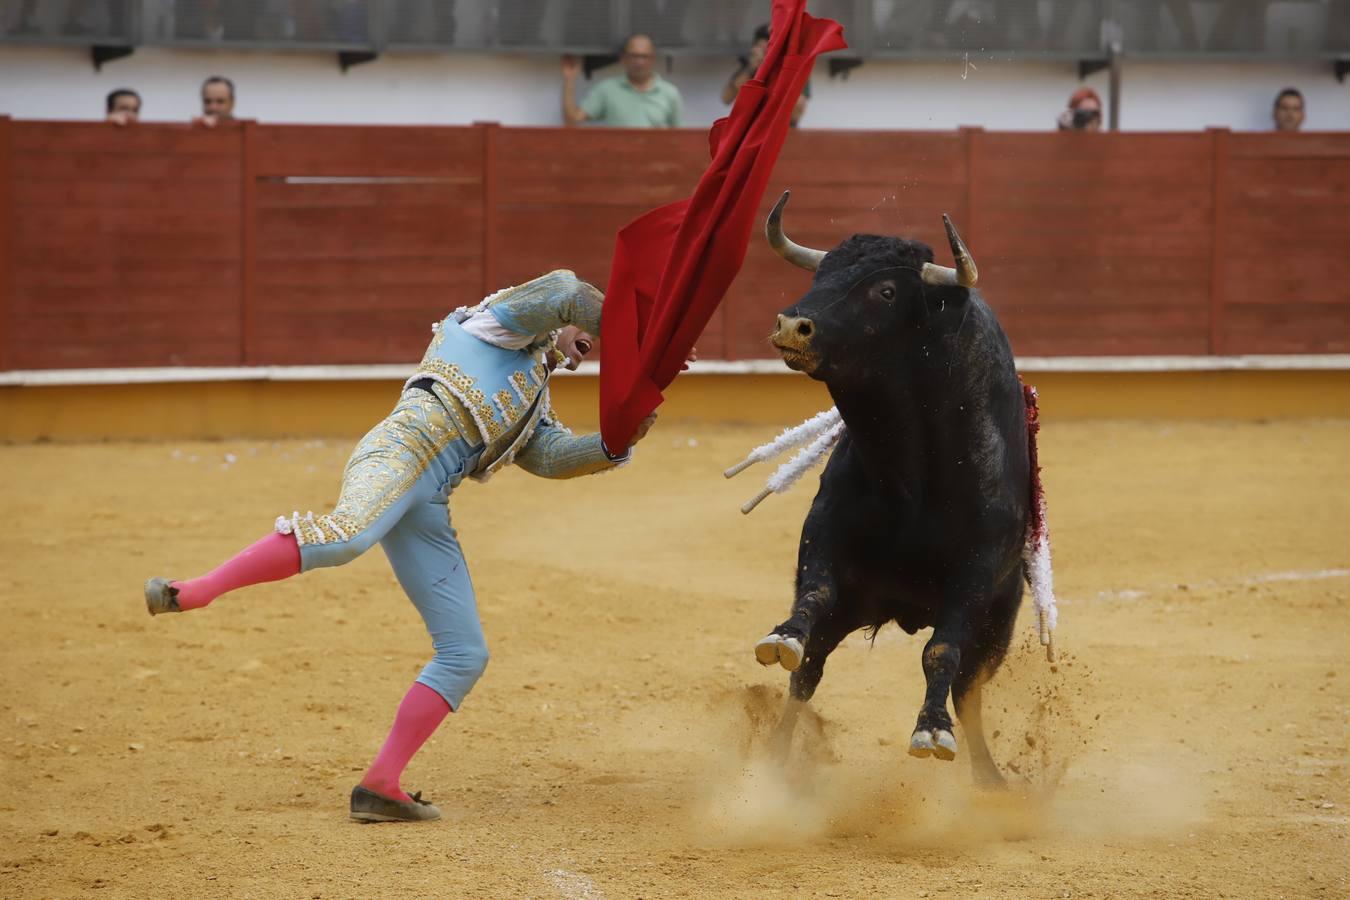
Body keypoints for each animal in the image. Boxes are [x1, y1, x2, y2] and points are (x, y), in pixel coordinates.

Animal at [750, 191, 1031, 788]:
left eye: (885, 291)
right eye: (823, 273)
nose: (792, 325)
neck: (911, 475)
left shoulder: (976, 575)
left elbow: (941, 651)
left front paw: (931, 732)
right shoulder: (826, 538)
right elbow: (813, 598)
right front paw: (783, 636)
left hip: (997, 627)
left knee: (968, 691)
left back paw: (988, 780)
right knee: (809, 673)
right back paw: (777, 759)